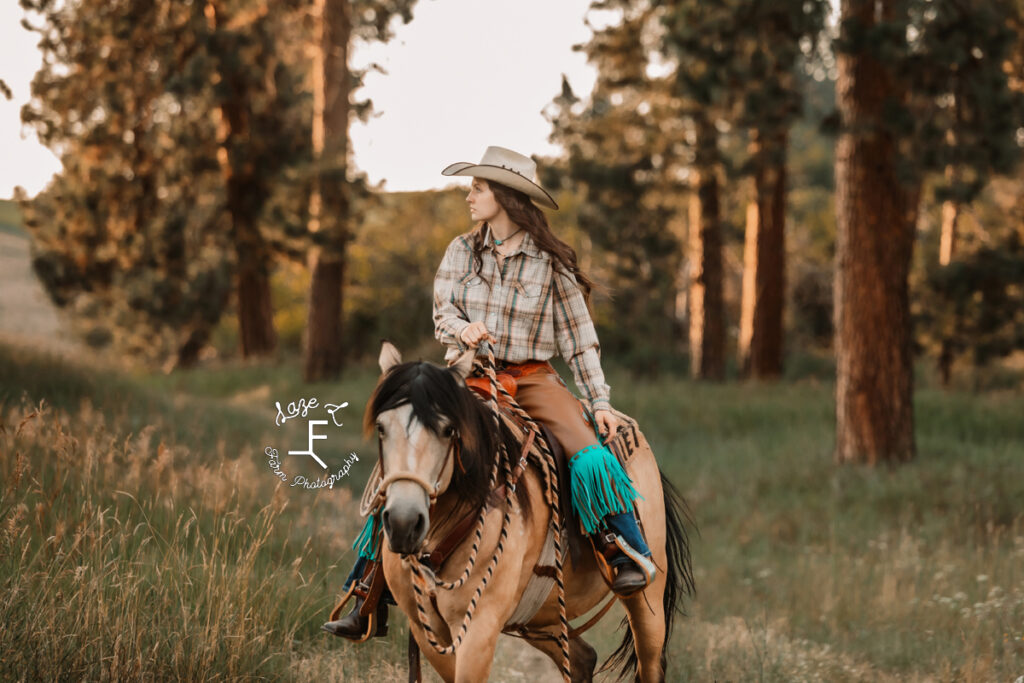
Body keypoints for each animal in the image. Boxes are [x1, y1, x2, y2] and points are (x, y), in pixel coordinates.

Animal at [354, 342, 696, 683]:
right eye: (382, 428)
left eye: (448, 429)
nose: (404, 522)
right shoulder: (426, 630)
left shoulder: (478, 626)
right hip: (540, 616)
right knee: (583, 658)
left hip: (647, 601)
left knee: (648, 661)